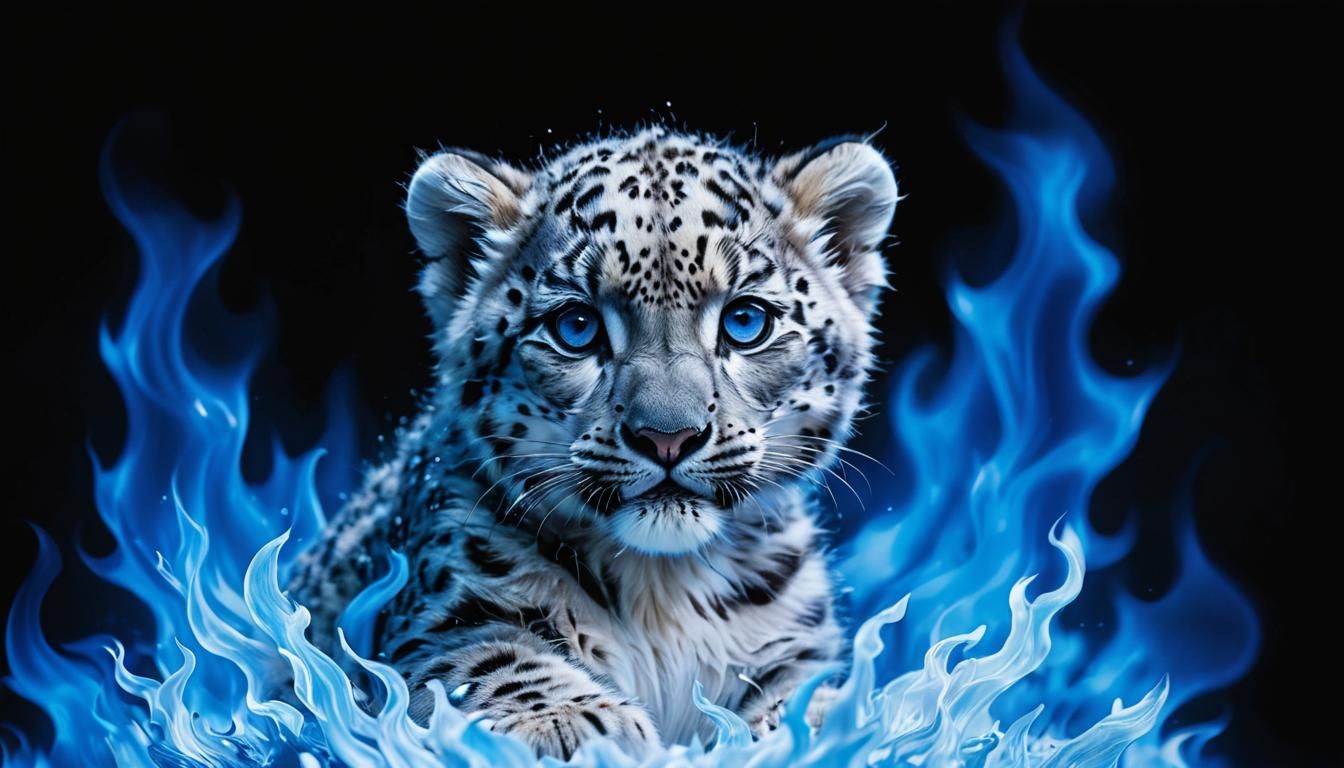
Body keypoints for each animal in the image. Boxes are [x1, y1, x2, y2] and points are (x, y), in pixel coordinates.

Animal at [287, 125, 899, 760]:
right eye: (576, 327)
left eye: (746, 321)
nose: (667, 437)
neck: (666, 586)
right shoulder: (435, 620)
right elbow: (487, 659)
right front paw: (566, 722)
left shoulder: (796, 646)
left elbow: (803, 690)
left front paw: (832, 718)